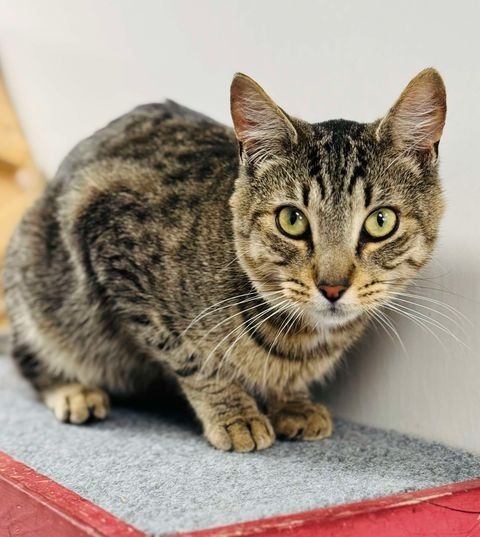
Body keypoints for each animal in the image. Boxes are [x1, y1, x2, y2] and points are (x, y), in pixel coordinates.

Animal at [2, 69, 446, 450]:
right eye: (292, 219)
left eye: (380, 221)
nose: (332, 287)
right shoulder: (112, 243)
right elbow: (191, 358)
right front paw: (233, 412)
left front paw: (291, 400)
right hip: (37, 284)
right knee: (29, 356)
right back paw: (73, 391)